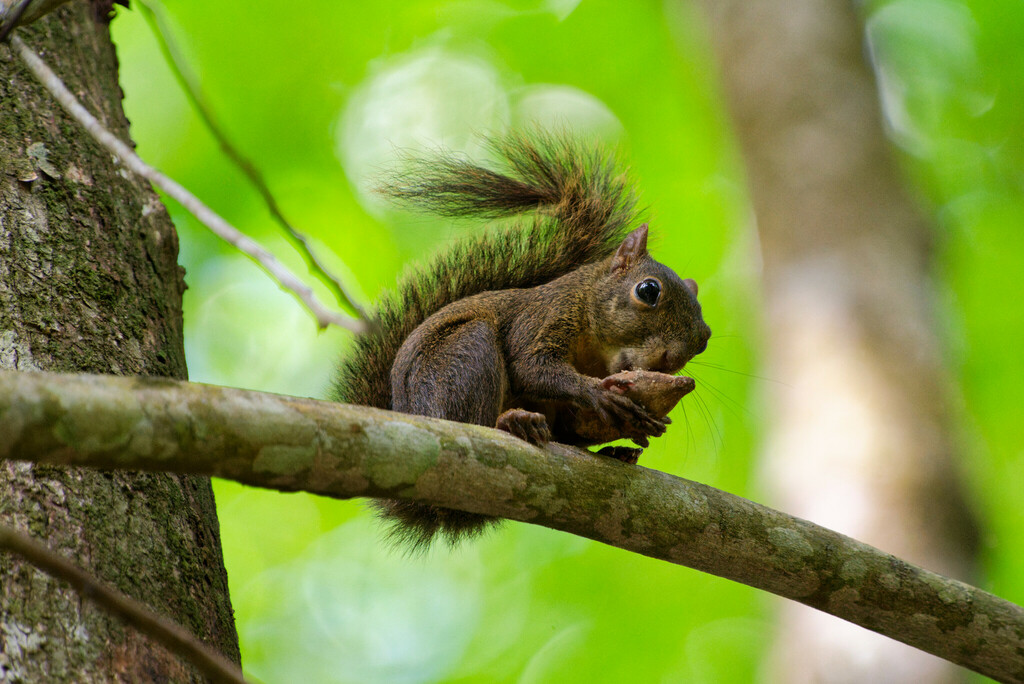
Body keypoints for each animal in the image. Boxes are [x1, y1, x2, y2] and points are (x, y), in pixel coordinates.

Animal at [331, 131, 711, 550]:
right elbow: (531, 365)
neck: (597, 352)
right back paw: (512, 423)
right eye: (648, 291)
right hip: (461, 359)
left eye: (704, 340)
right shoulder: (542, 317)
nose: (670, 359)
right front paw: (598, 393)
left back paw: (613, 451)